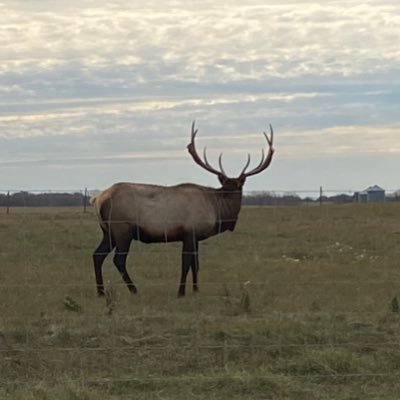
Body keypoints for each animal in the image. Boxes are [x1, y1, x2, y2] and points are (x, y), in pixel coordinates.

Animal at [91, 121, 274, 296]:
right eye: (226, 188)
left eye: (237, 187)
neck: (215, 210)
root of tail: (98, 200)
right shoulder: (189, 232)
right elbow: (186, 264)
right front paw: (180, 292)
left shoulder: (196, 236)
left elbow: (196, 264)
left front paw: (196, 289)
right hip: (122, 229)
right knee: (118, 260)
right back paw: (134, 290)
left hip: (108, 232)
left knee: (97, 255)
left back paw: (101, 291)